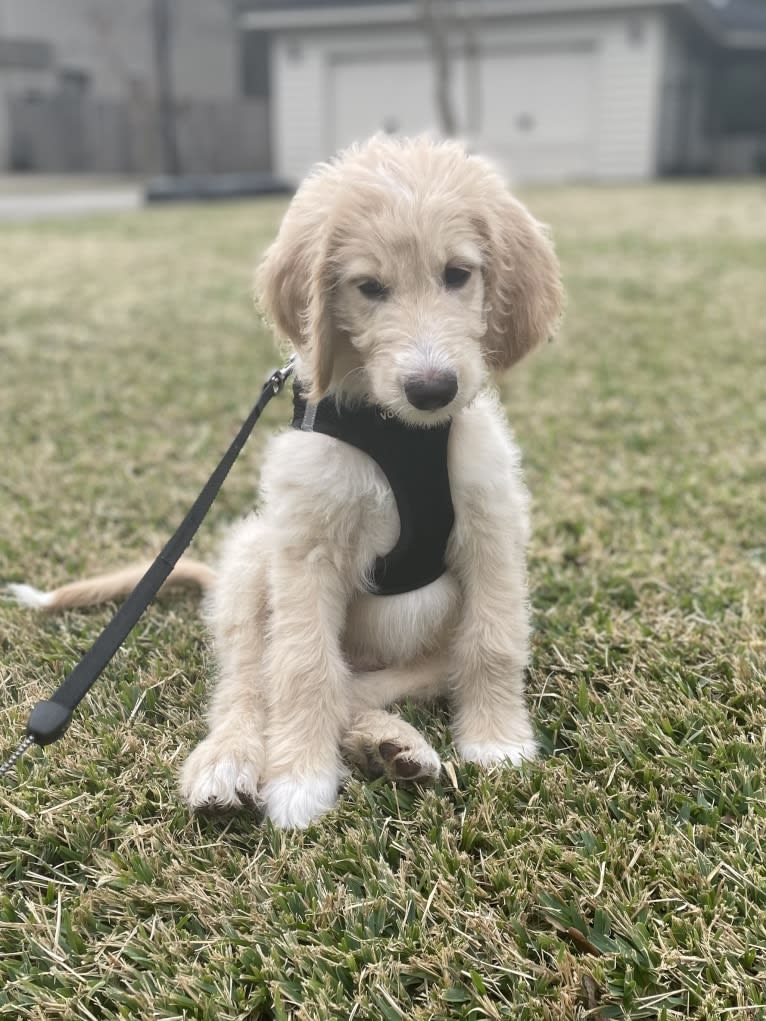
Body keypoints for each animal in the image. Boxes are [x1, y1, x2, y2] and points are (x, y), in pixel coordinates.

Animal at [7, 133, 563, 829]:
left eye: (458, 274)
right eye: (369, 287)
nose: (433, 389)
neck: (399, 434)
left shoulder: (490, 529)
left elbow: (492, 642)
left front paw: (497, 742)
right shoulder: (306, 549)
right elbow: (302, 668)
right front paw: (300, 781)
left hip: (417, 655)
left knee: (363, 688)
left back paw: (391, 745)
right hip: (254, 560)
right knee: (251, 683)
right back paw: (231, 762)